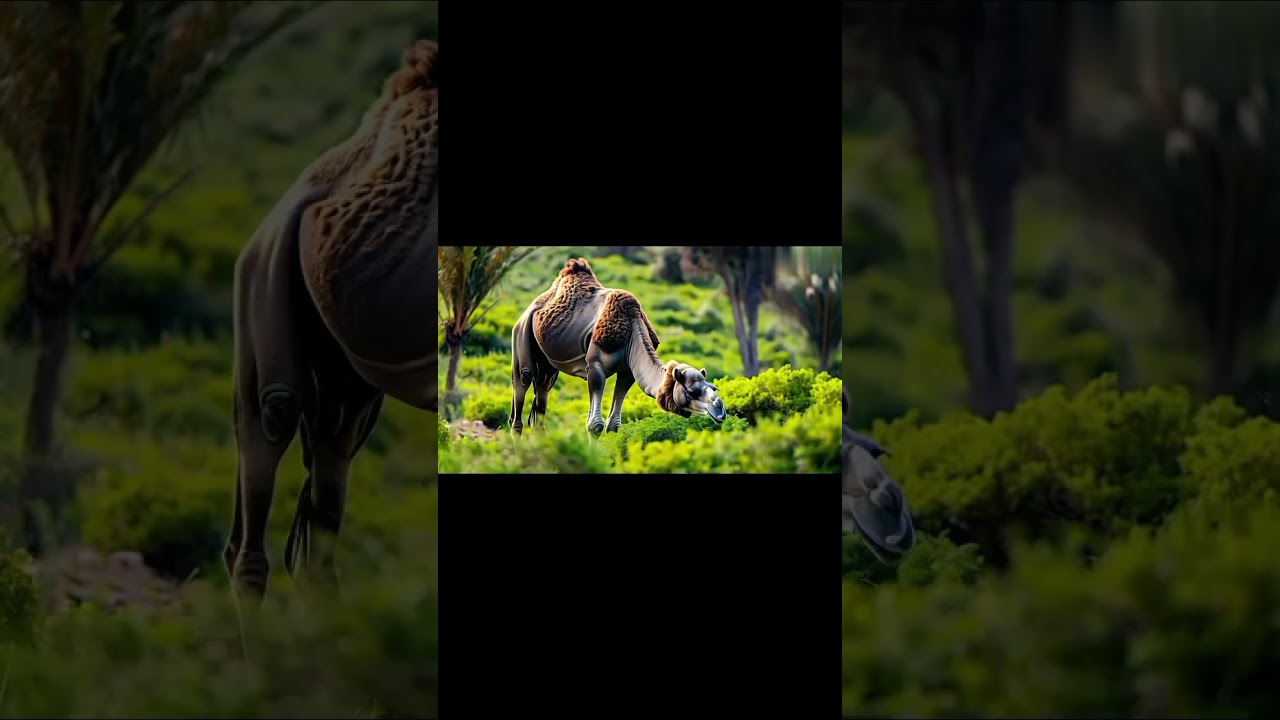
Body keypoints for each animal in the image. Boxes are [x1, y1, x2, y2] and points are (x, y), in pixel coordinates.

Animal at [509, 257, 727, 435]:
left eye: (713, 387)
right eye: (691, 391)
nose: (720, 409)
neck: (631, 329)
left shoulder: (627, 371)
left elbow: (614, 425)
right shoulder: (595, 367)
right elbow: (595, 425)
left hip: (548, 367)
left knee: (541, 401)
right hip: (521, 335)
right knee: (522, 389)